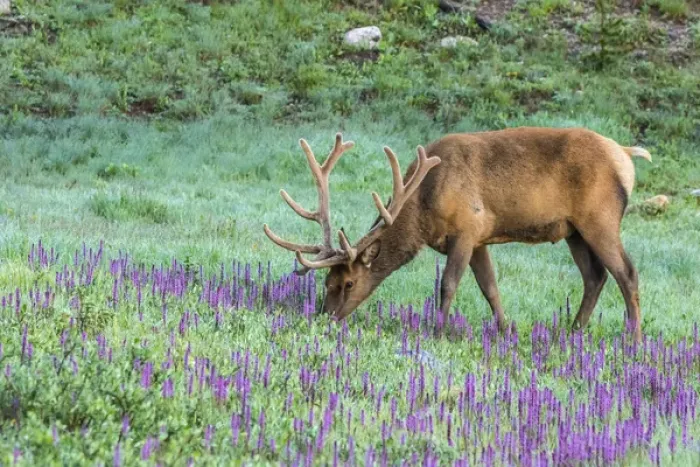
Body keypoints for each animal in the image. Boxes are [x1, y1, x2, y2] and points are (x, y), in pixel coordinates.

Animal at [263, 128, 652, 342]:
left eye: (348, 283)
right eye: (327, 280)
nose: (324, 316)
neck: (423, 204)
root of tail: (626, 155)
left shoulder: (467, 228)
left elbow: (448, 284)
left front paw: (438, 331)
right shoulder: (480, 238)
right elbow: (490, 287)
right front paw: (505, 331)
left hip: (600, 218)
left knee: (627, 273)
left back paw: (632, 340)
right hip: (574, 230)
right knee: (595, 276)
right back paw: (572, 332)